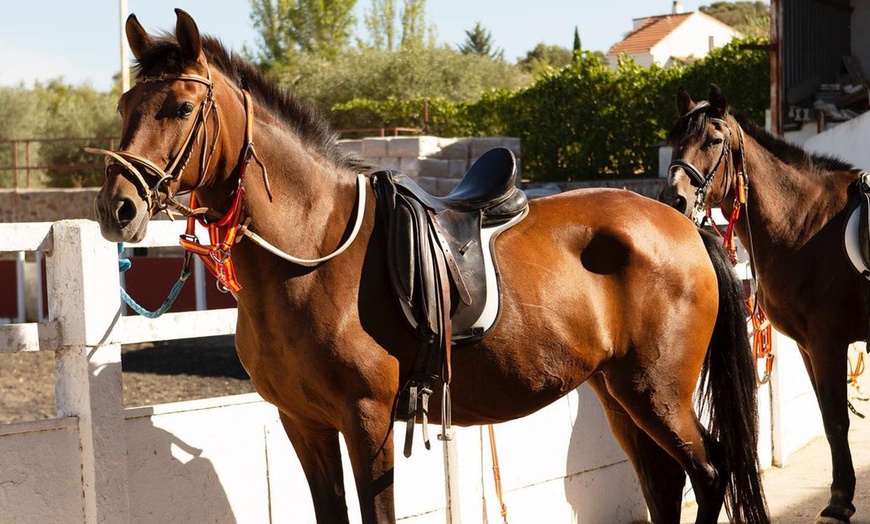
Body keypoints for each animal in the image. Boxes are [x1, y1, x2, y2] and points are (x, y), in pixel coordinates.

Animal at [93, 11, 768, 524]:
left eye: (182, 108)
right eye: (126, 103)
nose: (116, 207)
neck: (311, 252)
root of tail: (682, 224)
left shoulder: (366, 420)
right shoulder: (303, 424)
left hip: (657, 392)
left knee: (710, 473)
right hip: (618, 391)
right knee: (666, 483)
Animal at [664, 85, 868, 524]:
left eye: (714, 140)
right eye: (674, 140)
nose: (675, 199)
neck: (808, 223)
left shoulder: (828, 342)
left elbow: (837, 420)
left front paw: (839, 501)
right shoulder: (809, 346)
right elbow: (828, 416)